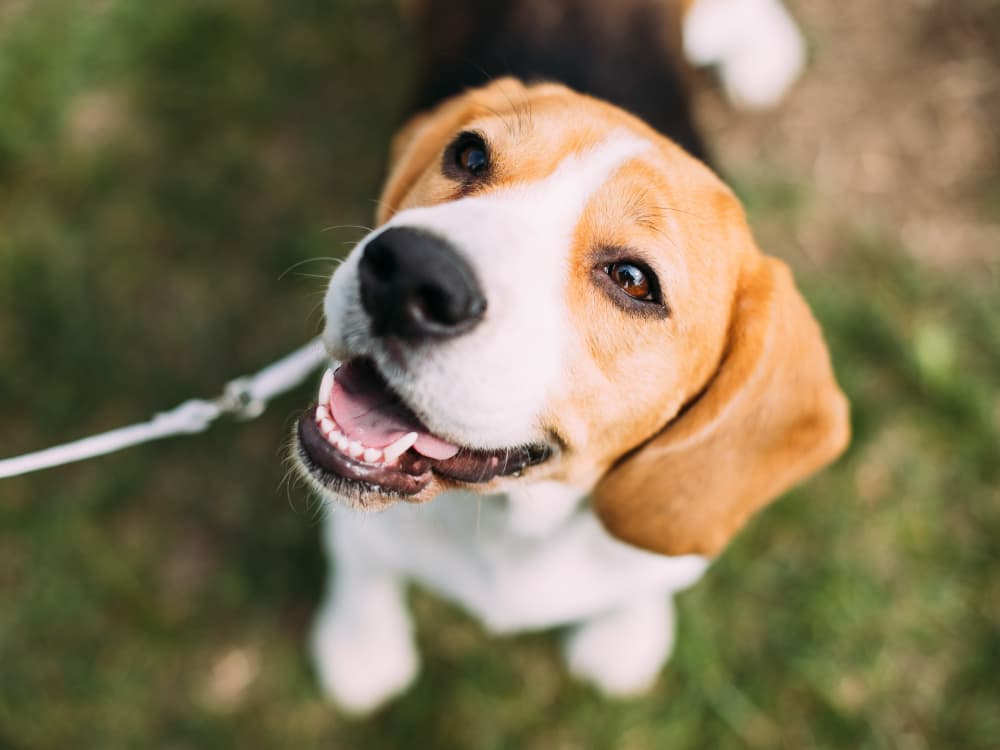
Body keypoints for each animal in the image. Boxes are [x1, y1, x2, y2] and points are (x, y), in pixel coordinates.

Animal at [292, 0, 844, 712]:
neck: (513, 521)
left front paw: (625, 636)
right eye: (469, 154)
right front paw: (361, 645)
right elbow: (362, 560)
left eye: (633, 280)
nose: (408, 273)